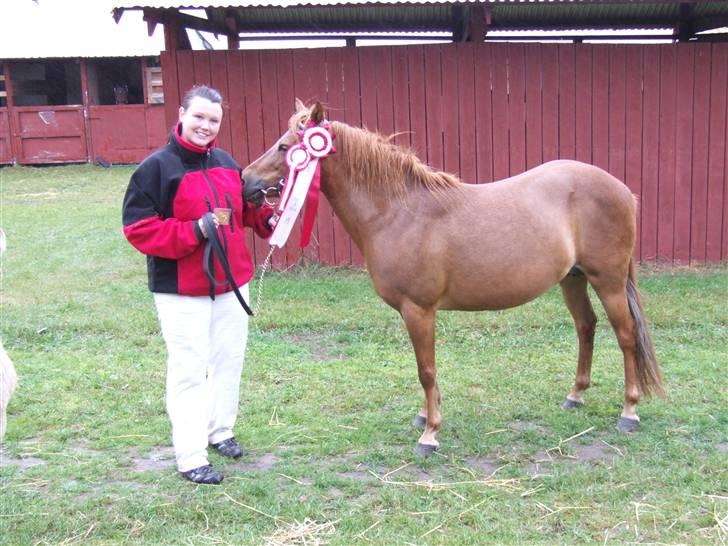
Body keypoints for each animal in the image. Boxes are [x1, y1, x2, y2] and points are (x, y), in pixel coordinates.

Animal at [242, 99, 664, 454]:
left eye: (285, 147)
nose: (246, 180)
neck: (398, 212)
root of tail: (622, 190)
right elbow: (426, 371)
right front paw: (426, 417)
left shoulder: (418, 310)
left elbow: (426, 371)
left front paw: (430, 434)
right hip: (572, 278)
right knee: (586, 327)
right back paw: (575, 395)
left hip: (608, 280)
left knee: (626, 336)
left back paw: (629, 412)